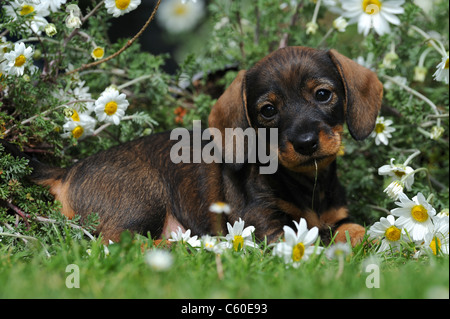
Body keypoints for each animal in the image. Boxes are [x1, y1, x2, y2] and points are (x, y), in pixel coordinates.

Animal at [26, 45, 382, 245]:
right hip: (143, 199)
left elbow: (347, 227)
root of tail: (66, 172)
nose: (306, 143)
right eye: (268, 111)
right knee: (115, 245)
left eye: (323, 94)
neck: (308, 184)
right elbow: (322, 238)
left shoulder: (334, 216)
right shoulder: (265, 224)